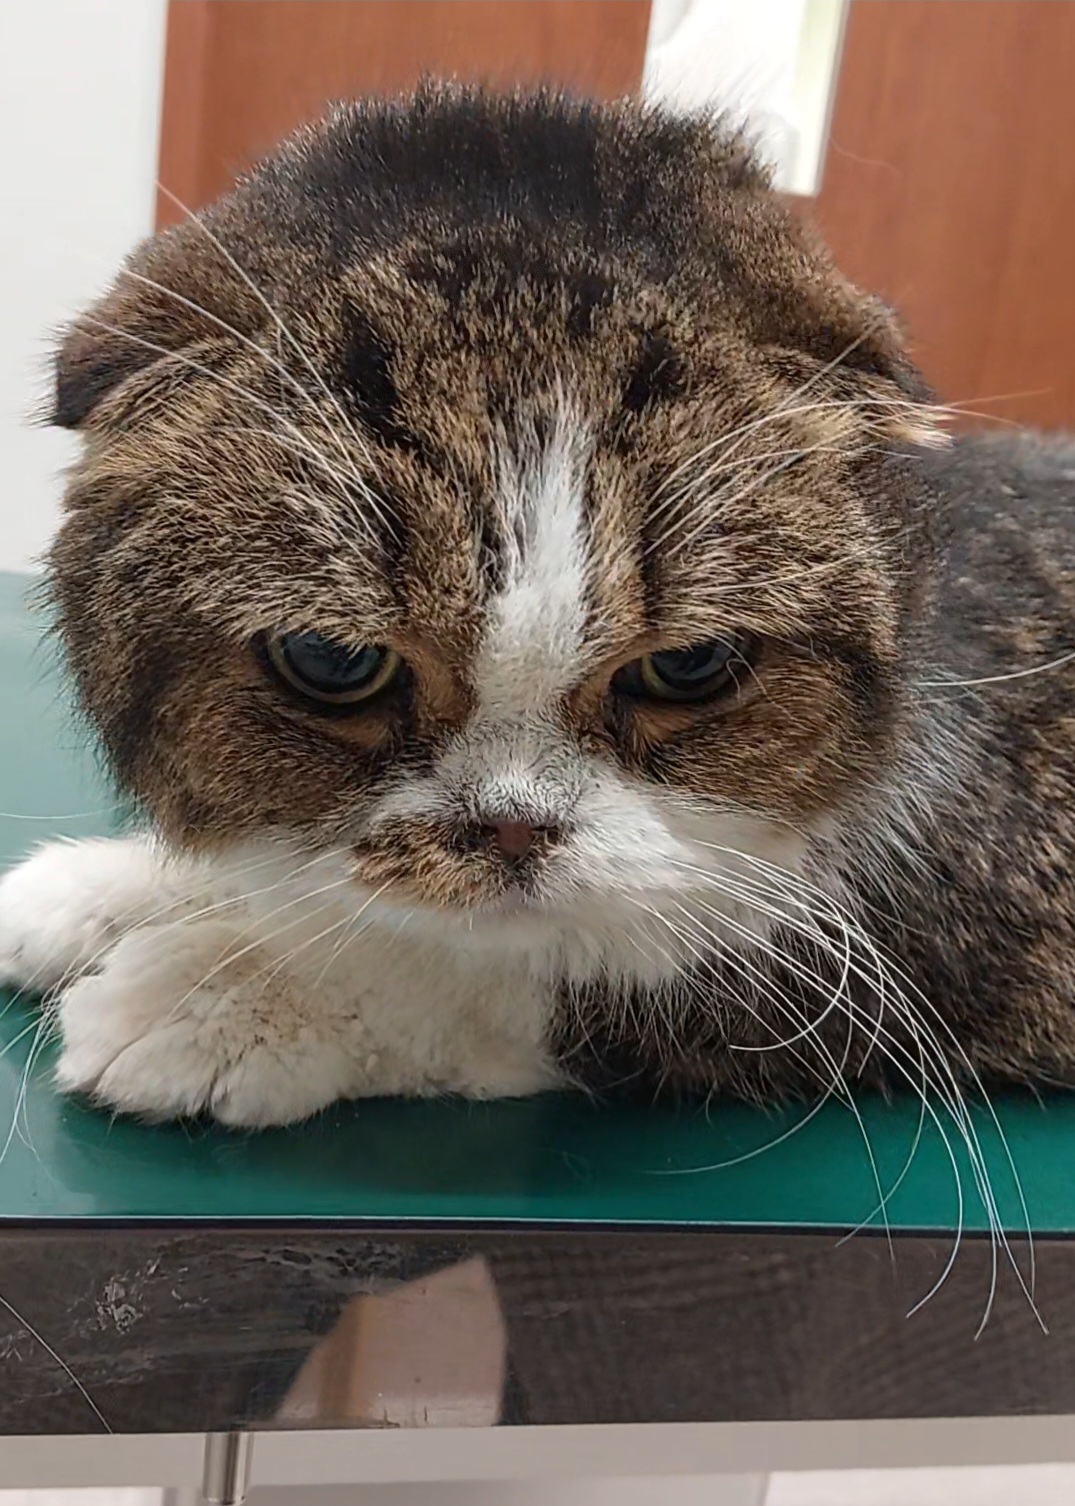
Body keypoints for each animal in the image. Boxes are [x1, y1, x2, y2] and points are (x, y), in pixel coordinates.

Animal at [1, 85, 1073, 1127]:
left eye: (686, 665)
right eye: (335, 663)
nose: (514, 826)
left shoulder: (924, 938)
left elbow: (524, 971)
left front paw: (223, 994)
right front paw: (113, 893)